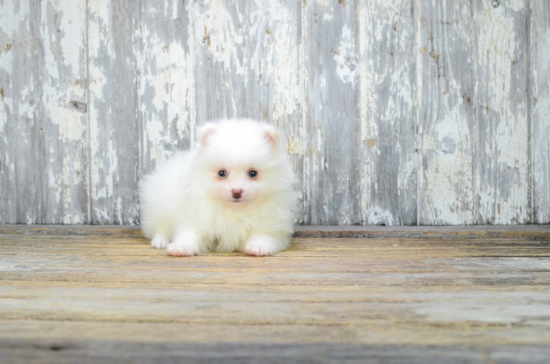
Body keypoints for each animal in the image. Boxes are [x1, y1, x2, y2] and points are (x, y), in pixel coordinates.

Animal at [142, 119, 298, 256]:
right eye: (221, 173)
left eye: (253, 173)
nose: (236, 192)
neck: (235, 210)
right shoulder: (194, 218)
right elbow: (189, 234)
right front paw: (181, 247)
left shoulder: (272, 227)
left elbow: (263, 236)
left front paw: (258, 247)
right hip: (158, 209)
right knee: (158, 228)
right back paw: (161, 241)